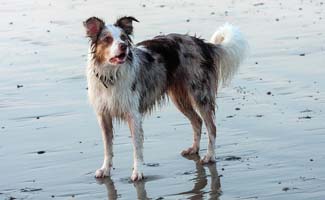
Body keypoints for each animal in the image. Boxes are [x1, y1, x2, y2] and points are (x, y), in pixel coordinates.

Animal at [82, 16, 247, 180]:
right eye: (107, 39)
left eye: (123, 37)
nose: (123, 46)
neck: (111, 75)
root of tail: (202, 44)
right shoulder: (103, 115)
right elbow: (107, 147)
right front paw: (105, 169)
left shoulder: (133, 115)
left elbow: (137, 147)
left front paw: (137, 172)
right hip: (180, 98)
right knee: (197, 121)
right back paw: (194, 149)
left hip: (200, 94)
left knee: (211, 127)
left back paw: (210, 156)